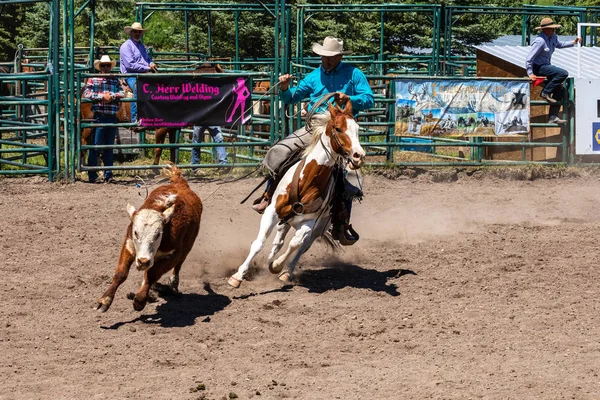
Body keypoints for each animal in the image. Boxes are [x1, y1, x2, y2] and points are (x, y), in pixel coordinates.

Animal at [96, 163, 203, 312]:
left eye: (158, 234)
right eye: (136, 233)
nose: (143, 261)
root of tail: (181, 183)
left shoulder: (173, 254)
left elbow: (152, 274)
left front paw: (140, 300)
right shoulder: (129, 245)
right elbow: (121, 273)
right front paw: (105, 300)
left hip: (188, 245)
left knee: (178, 265)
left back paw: (173, 286)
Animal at [227, 100, 364, 288]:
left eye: (357, 129)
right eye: (338, 128)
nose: (359, 156)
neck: (307, 181)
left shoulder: (310, 223)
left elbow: (296, 244)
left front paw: (277, 266)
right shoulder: (272, 212)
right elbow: (259, 244)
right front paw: (238, 276)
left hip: (319, 226)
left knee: (303, 245)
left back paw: (286, 271)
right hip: (285, 218)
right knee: (279, 241)